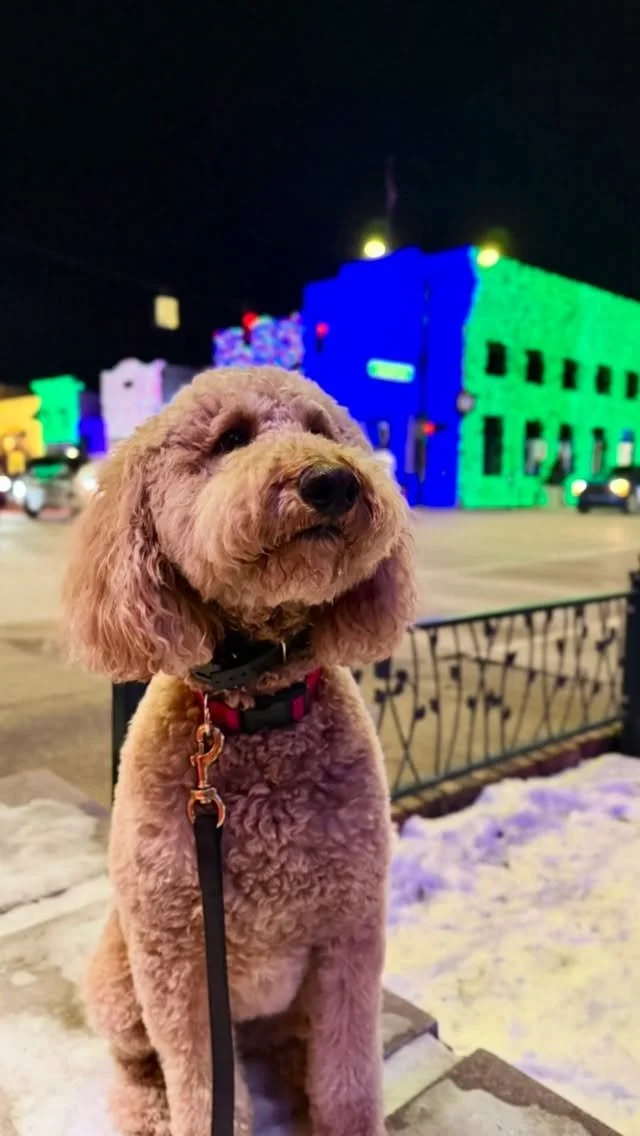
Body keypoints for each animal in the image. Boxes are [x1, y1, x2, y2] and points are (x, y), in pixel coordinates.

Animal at [62, 366, 415, 1136]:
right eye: (230, 439)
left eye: (321, 429)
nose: (330, 481)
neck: (256, 712)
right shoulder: (176, 961)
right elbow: (201, 1087)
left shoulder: (348, 934)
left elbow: (347, 1077)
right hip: (117, 976)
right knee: (135, 1061)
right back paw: (143, 1107)